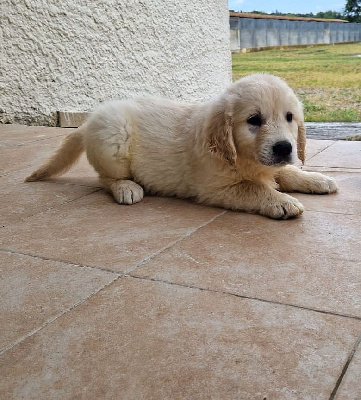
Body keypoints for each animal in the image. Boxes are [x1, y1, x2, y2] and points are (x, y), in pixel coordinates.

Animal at [26, 74, 338, 219]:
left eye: (290, 117)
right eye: (253, 120)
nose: (284, 148)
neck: (241, 157)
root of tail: (90, 120)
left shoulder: (270, 164)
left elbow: (287, 172)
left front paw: (317, 179)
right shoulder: (217, 188)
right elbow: (254, 189)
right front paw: (282, 202)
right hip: (113, 138)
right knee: (105, 178)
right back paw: (127, 188)